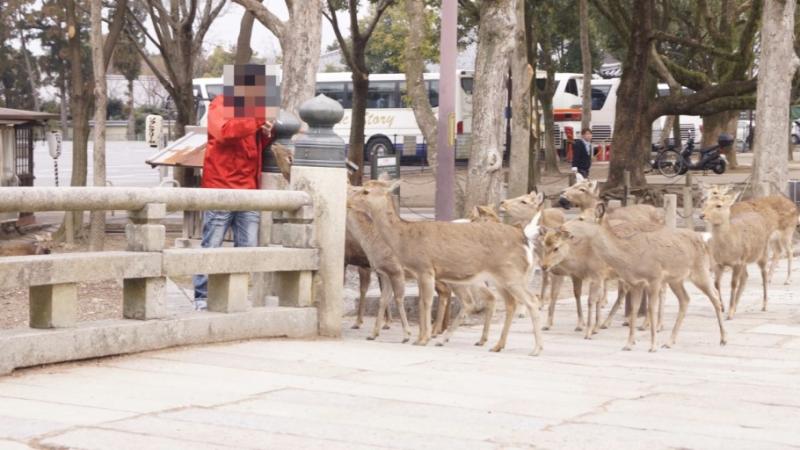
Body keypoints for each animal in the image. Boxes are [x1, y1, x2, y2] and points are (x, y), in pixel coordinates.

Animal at [348, 179, 544, 356]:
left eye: (365, 191)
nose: (348, 201)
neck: (404, 238)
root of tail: (523, 238)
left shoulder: (424, 268)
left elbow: (425, 302)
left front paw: (422, 339)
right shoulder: (415, 273)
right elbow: (418, 301)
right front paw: (418, 338)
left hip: (511, 275)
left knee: (531, 300)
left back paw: (536, 349)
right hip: (499, 278)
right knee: (509, 302)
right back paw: (495, 345)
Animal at [588, 204, 724, 352]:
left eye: (583, 221)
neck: (629, 256)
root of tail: (704, 242)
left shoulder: (655, 278)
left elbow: (651, 308)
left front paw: (652, 346)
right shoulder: (636, 283)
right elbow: (634, 309)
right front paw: (628, 344)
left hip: (700, 270)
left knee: (714, 296)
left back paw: (723, 339)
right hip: (676, 279)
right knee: (685, 299)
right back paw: (669, 342)